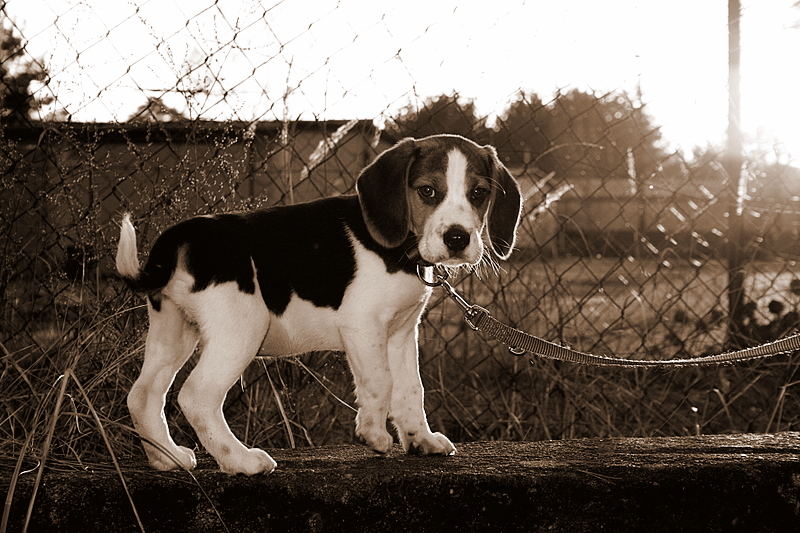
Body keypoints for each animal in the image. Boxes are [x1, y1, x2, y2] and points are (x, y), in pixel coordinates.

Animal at [115, 134, 520, 474]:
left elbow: (410, 389)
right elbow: (381, 381)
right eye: (428, 191)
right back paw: (241, 461)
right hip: (241, 328)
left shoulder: (402, 333)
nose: (458, 238)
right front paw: (374, 435)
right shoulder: (364, 326)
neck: (402, 250)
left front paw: (420, 440)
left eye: (479, 193)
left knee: (143, 395)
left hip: (174, 330)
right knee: (197, 397)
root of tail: (180, 236)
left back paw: (167, 457)